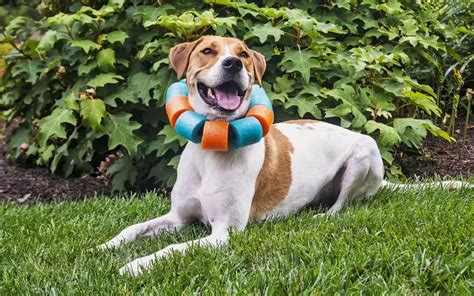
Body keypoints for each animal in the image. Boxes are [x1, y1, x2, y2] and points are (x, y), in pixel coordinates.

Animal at [99, 35, 470, 276]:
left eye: (244, 54)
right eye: (207, 51)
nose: (233, 64)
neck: (212, 148)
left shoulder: (223, 233)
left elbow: (172, 249)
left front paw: (136, 264)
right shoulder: (177, 217)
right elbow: (132, 229)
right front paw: (104, 247)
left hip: (364, 152)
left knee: (342, 205)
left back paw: (322, 215)